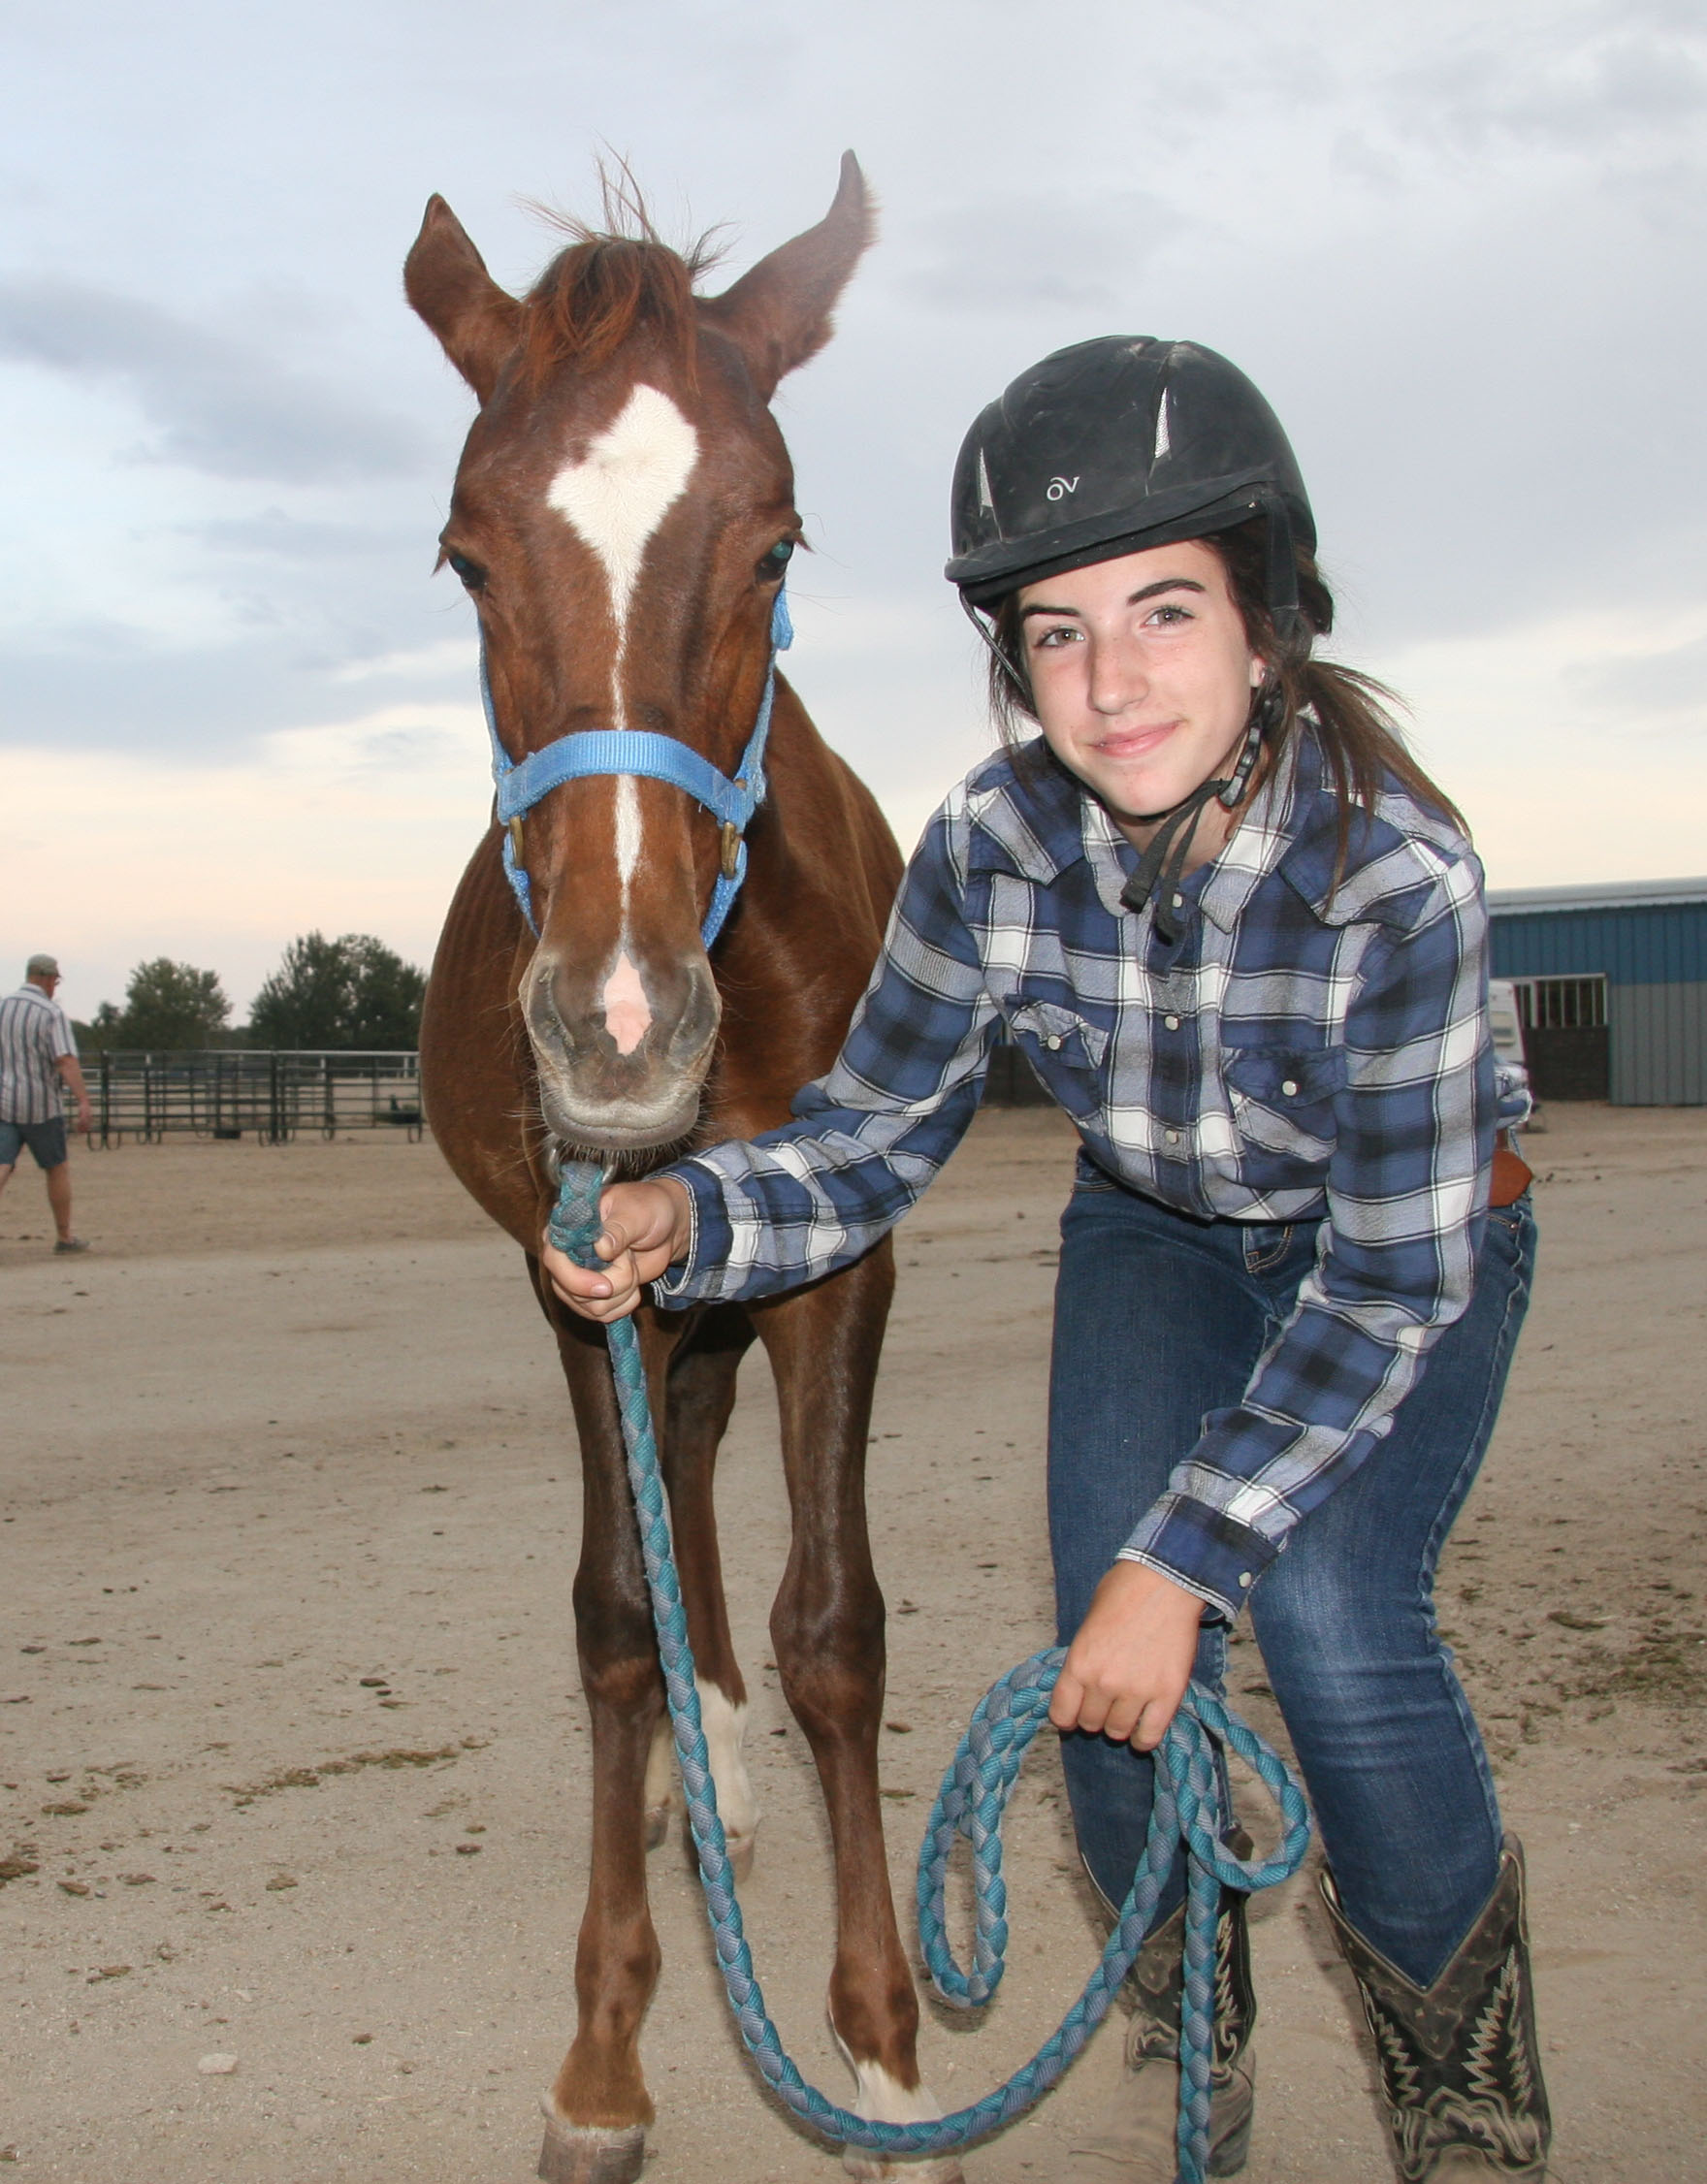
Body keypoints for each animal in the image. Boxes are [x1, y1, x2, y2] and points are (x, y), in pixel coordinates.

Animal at [403, 158, 960, 2184]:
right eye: (466, 557)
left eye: (779, 546)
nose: (623, 1031)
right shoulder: (580, 1274)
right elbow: (617, 1619)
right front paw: (605, 2061)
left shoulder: (841, 1250)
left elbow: (837, 1629)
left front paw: (886, 2063)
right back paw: (697, 1783)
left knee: (715, 1468)